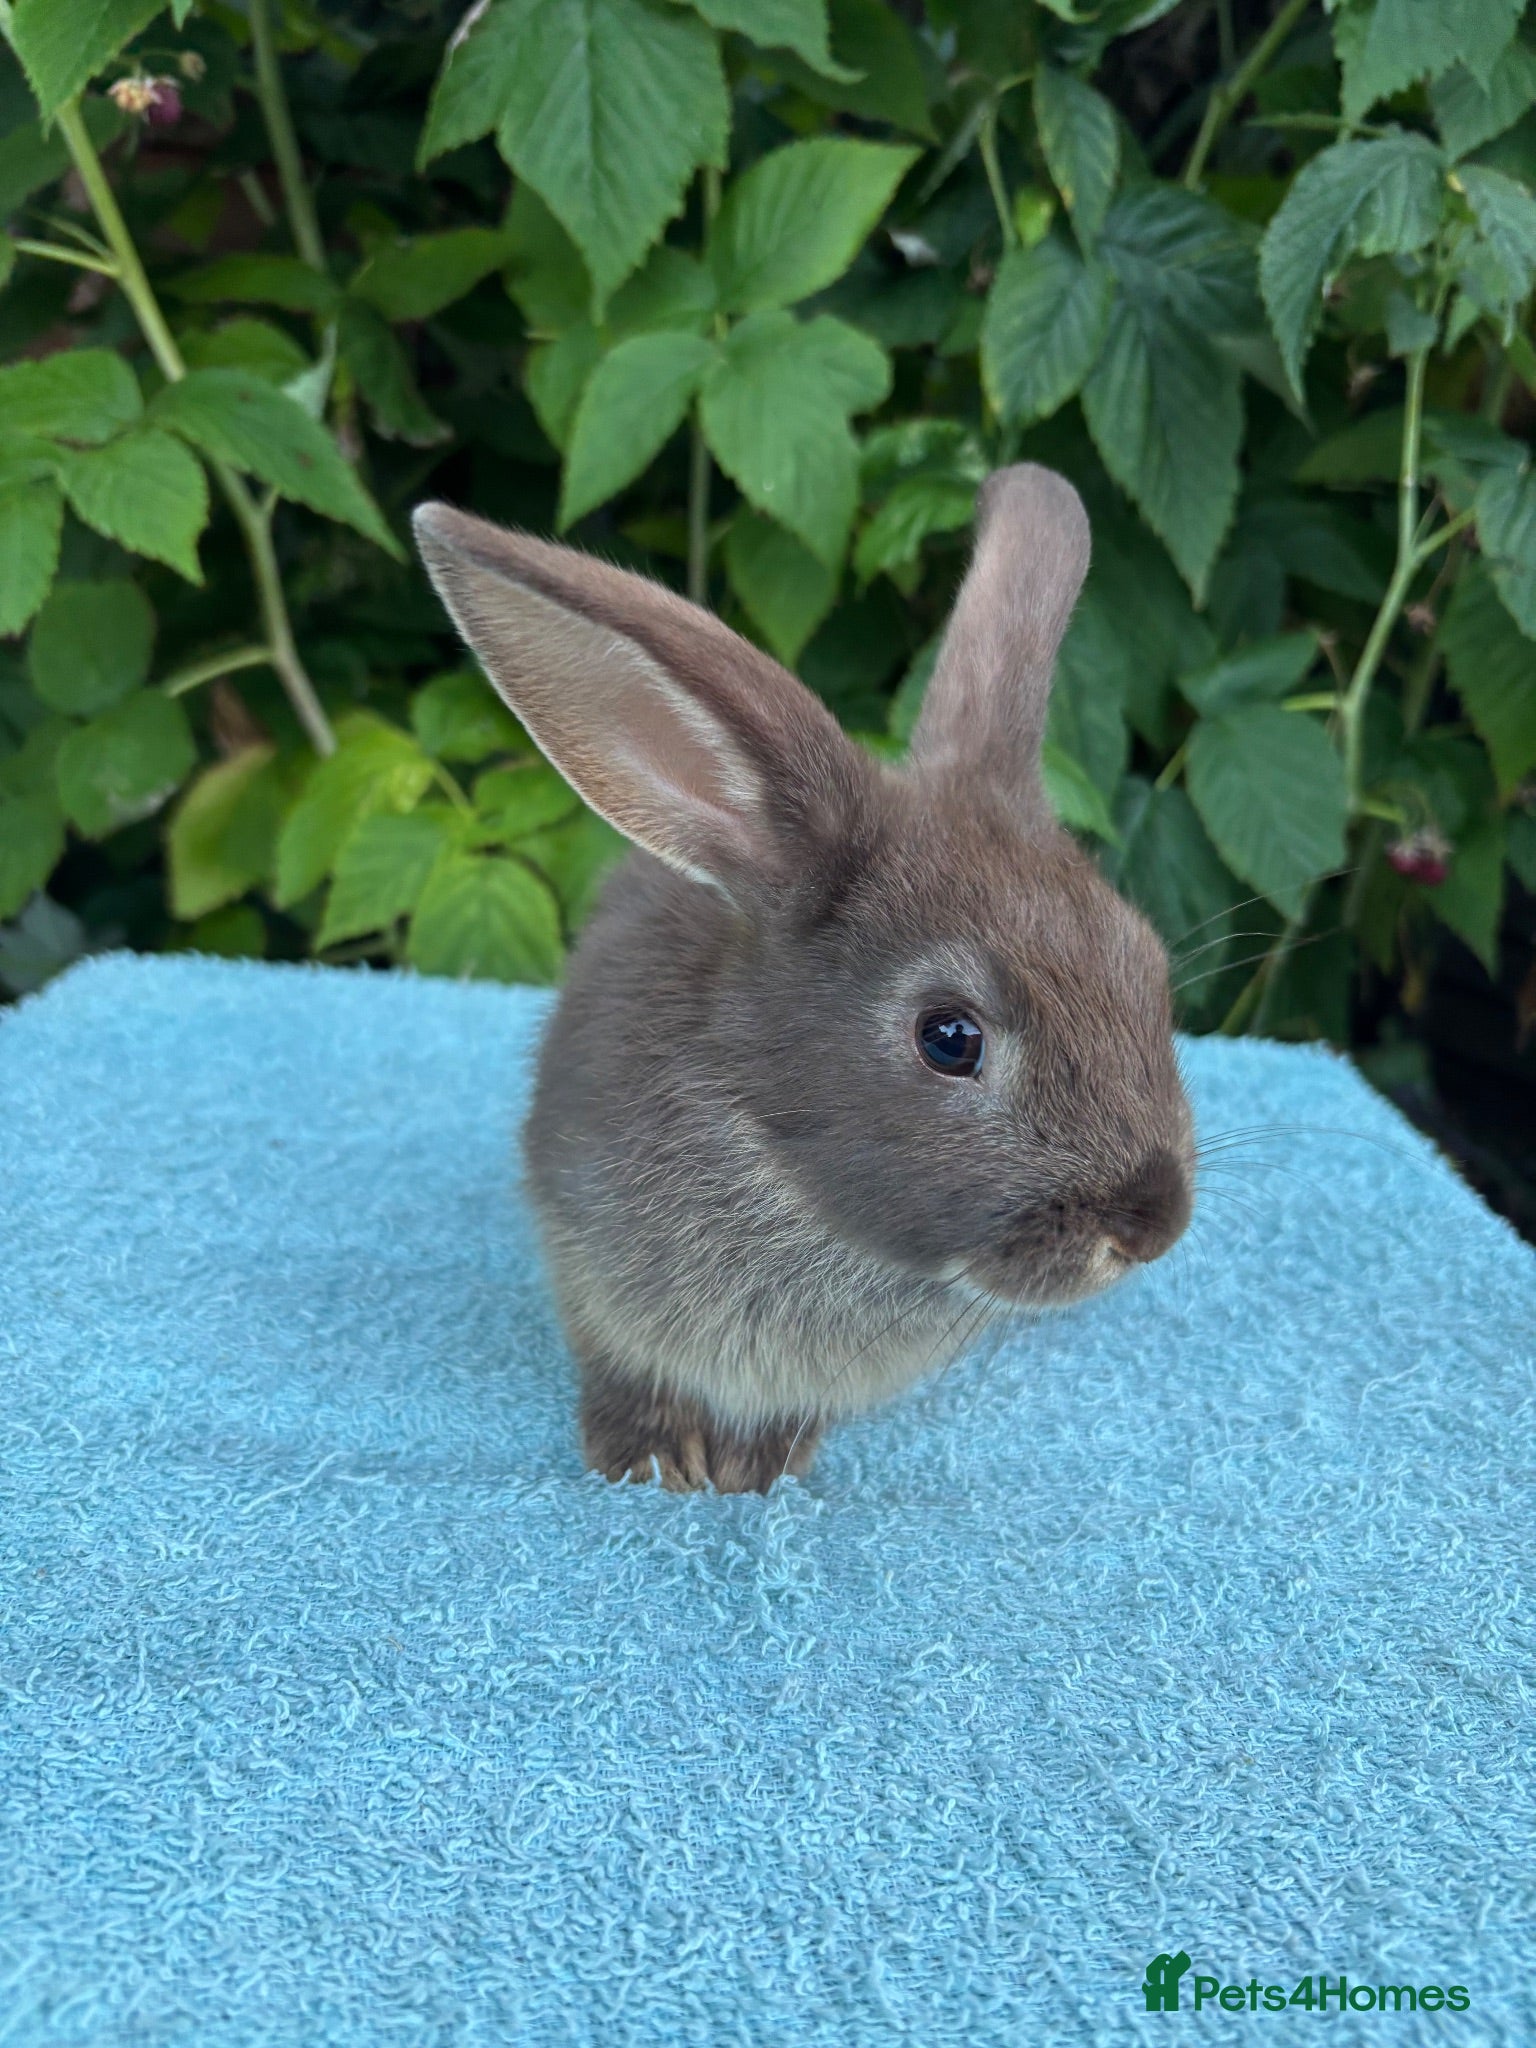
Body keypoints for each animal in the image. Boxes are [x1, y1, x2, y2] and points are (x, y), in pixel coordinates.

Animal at [413, 464, 1194, 1493]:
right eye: (950, 1038)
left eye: (1146, 966)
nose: (1154, 1224)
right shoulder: (586, 1267)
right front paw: (646, 1460)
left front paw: (760, 1465)